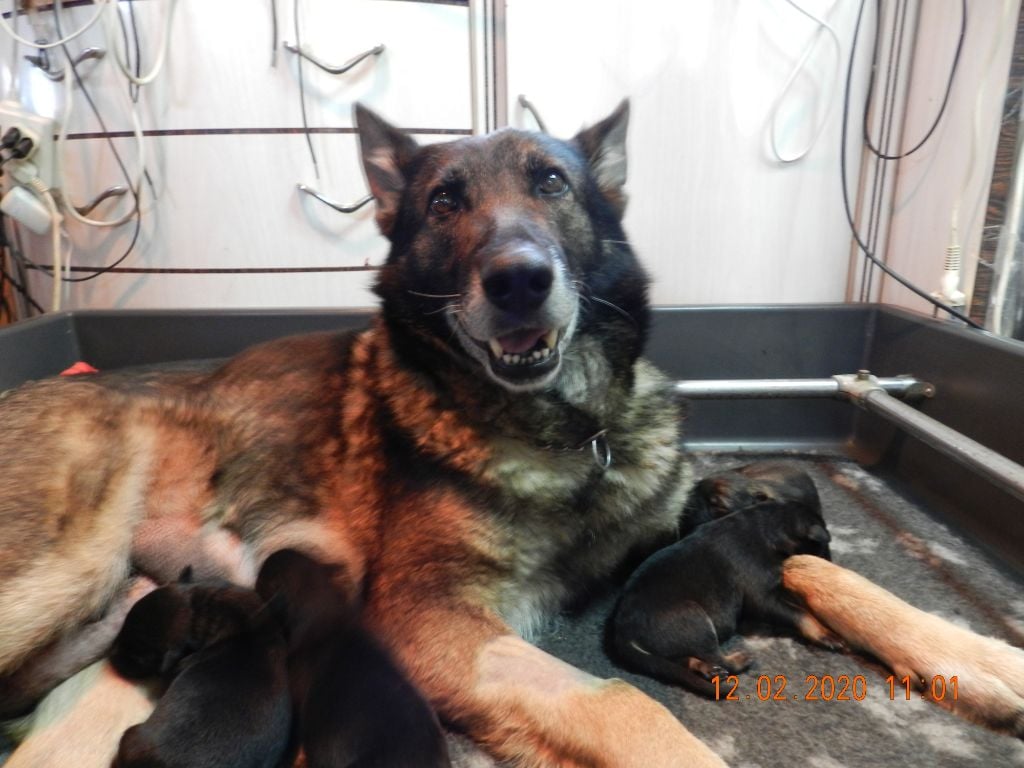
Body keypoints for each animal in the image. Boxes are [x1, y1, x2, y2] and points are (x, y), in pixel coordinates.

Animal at [610, 499, 835, 696]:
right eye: (823, 547)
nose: (832, 562)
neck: (768, 525)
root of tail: (622, 632)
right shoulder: (763, 598)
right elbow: (799, 613)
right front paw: (825, 633)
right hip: (696, 619)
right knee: (715, 655)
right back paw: (739, 659)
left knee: (682, 660)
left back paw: (706, 668)